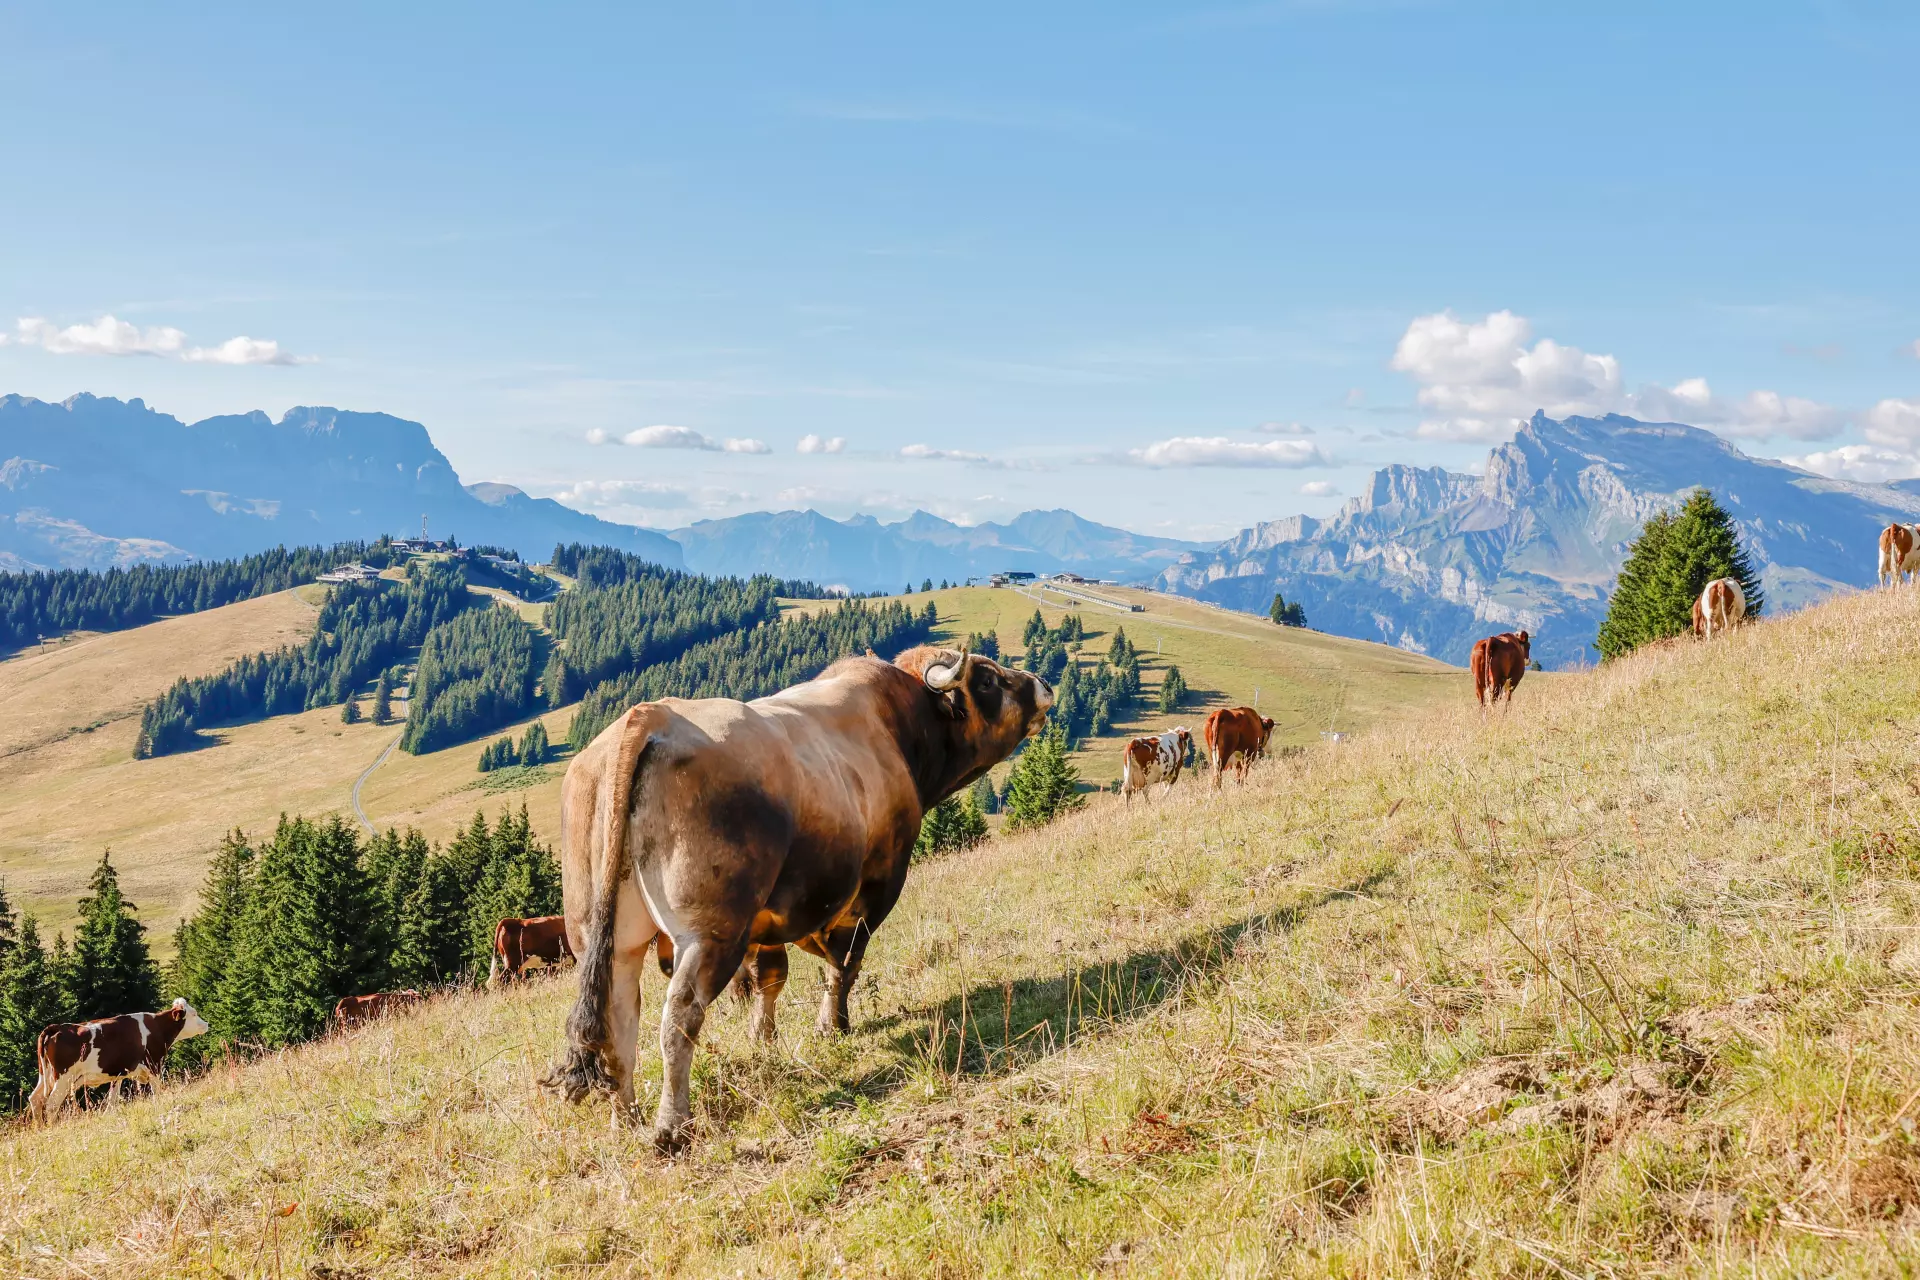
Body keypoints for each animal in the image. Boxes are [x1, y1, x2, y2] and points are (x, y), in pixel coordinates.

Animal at [26, 997, 208, 1120]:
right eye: (194, 1014)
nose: (206, 1024)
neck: (157, 1028)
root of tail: (57, 1027)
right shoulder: (154, 1065)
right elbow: (157, 1092)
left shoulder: (119, 1072)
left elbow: (112, 1101)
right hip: (63, 1078)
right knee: (51, 1104)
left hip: (46, 1076)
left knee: (35, 1099)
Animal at [541, 644, 1052, 1159]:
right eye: (987, 679)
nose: (1042, 684)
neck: (899, 728)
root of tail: (646, 716)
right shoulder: (875, 885)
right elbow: (845, 962)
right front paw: (833, 1025)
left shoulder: (767, 919)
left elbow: (772, 977)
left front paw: (763, 1040)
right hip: (709, 933)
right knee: (679, 1017)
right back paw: (672, 1127)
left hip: (608, 939)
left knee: (617, 1023)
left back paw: (624, 1122)